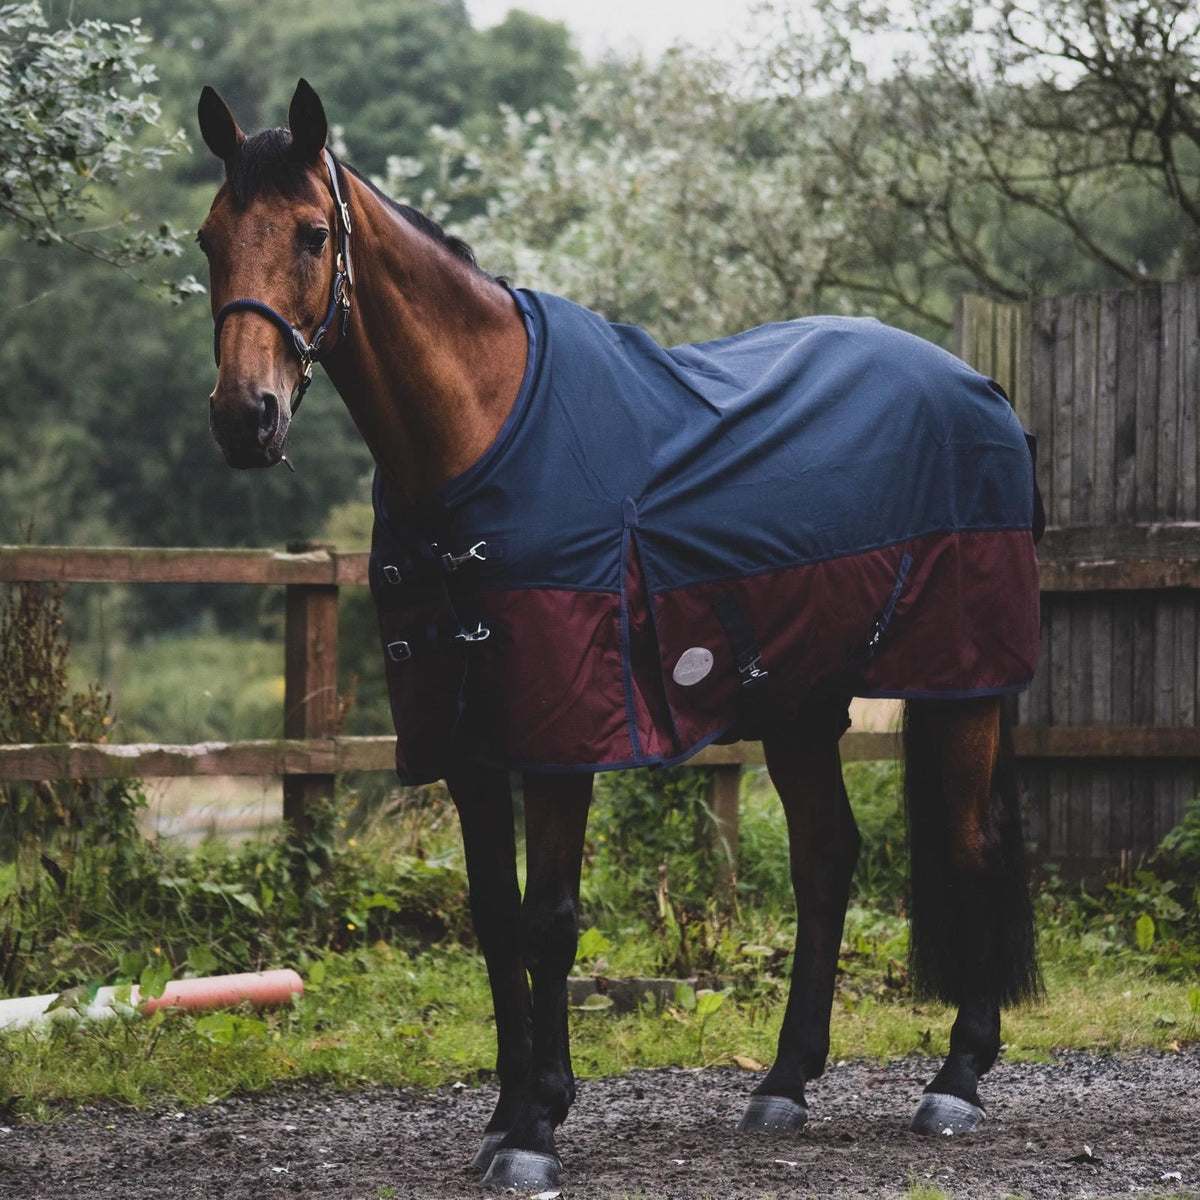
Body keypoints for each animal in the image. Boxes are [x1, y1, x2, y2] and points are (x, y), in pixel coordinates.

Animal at [197, 79, 1042, 1191]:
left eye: (311, 233)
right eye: (210, 238)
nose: (243, 418)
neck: (482, 430)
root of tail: (985, 391)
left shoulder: (562, 730)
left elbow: (549, 923)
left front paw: (536, 1130)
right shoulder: (467, 737)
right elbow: (493, 916)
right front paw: (507, 1113)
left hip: (963, 684)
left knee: (974, 846)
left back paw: (957, 1080)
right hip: (799, 699)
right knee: (827, 858)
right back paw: (783, 1085)